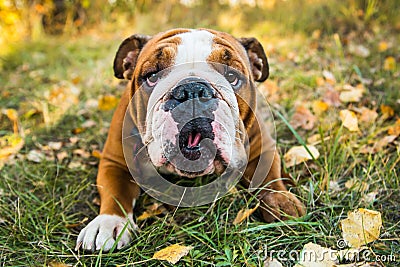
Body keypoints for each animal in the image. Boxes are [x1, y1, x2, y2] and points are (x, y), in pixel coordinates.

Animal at [76, 28, 306, 252]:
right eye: (152, 76)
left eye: (232, 77)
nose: (193, 89)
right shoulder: (114, 162)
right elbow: (116, 191)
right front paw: (108, 222)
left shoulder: (263, 148)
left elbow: (268, 177)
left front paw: (281, 201)